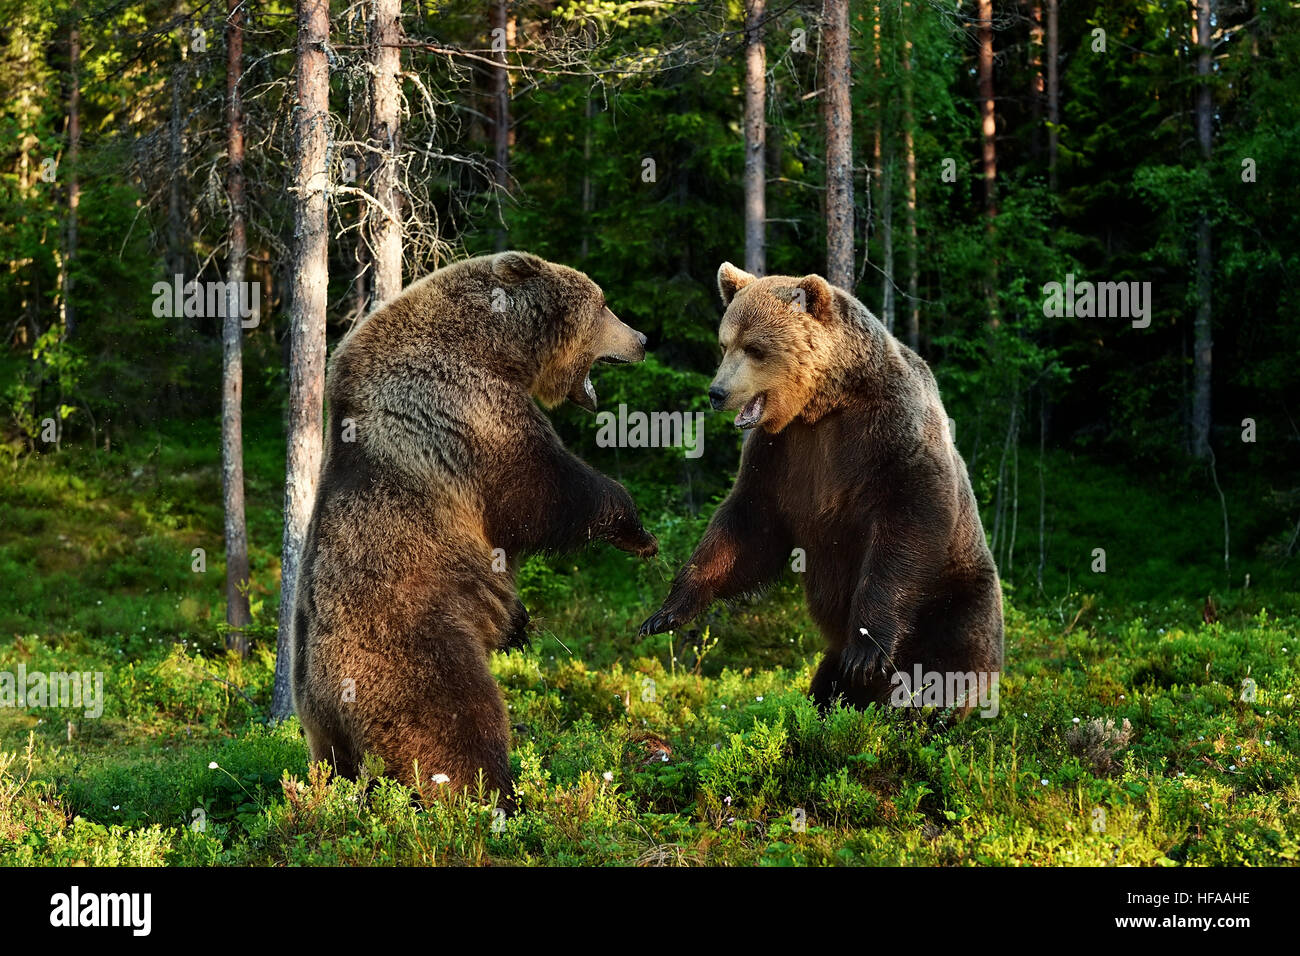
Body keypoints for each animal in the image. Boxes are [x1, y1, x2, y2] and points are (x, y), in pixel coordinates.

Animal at [296, 248, 660, 806]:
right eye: (603, 304)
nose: (641, 339)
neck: (494, 344)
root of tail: (322, 691)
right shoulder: (466, 409)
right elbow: (542, 490)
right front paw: (635, 528)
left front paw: (520, 623)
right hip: (415, 651)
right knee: (461, 726)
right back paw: (498, 798)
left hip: (326, 739)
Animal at [639, 260, 1003, 712]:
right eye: (725, 345)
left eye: (755, 348)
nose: (717, 392)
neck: (825, 405)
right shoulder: (782, 454)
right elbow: (747, 528)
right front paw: (666, 611)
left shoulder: (891, 433)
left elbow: (908, 522)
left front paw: (865, 649)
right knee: (829, 683)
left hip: (957, 600)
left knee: (947, 665)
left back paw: (923, 705)